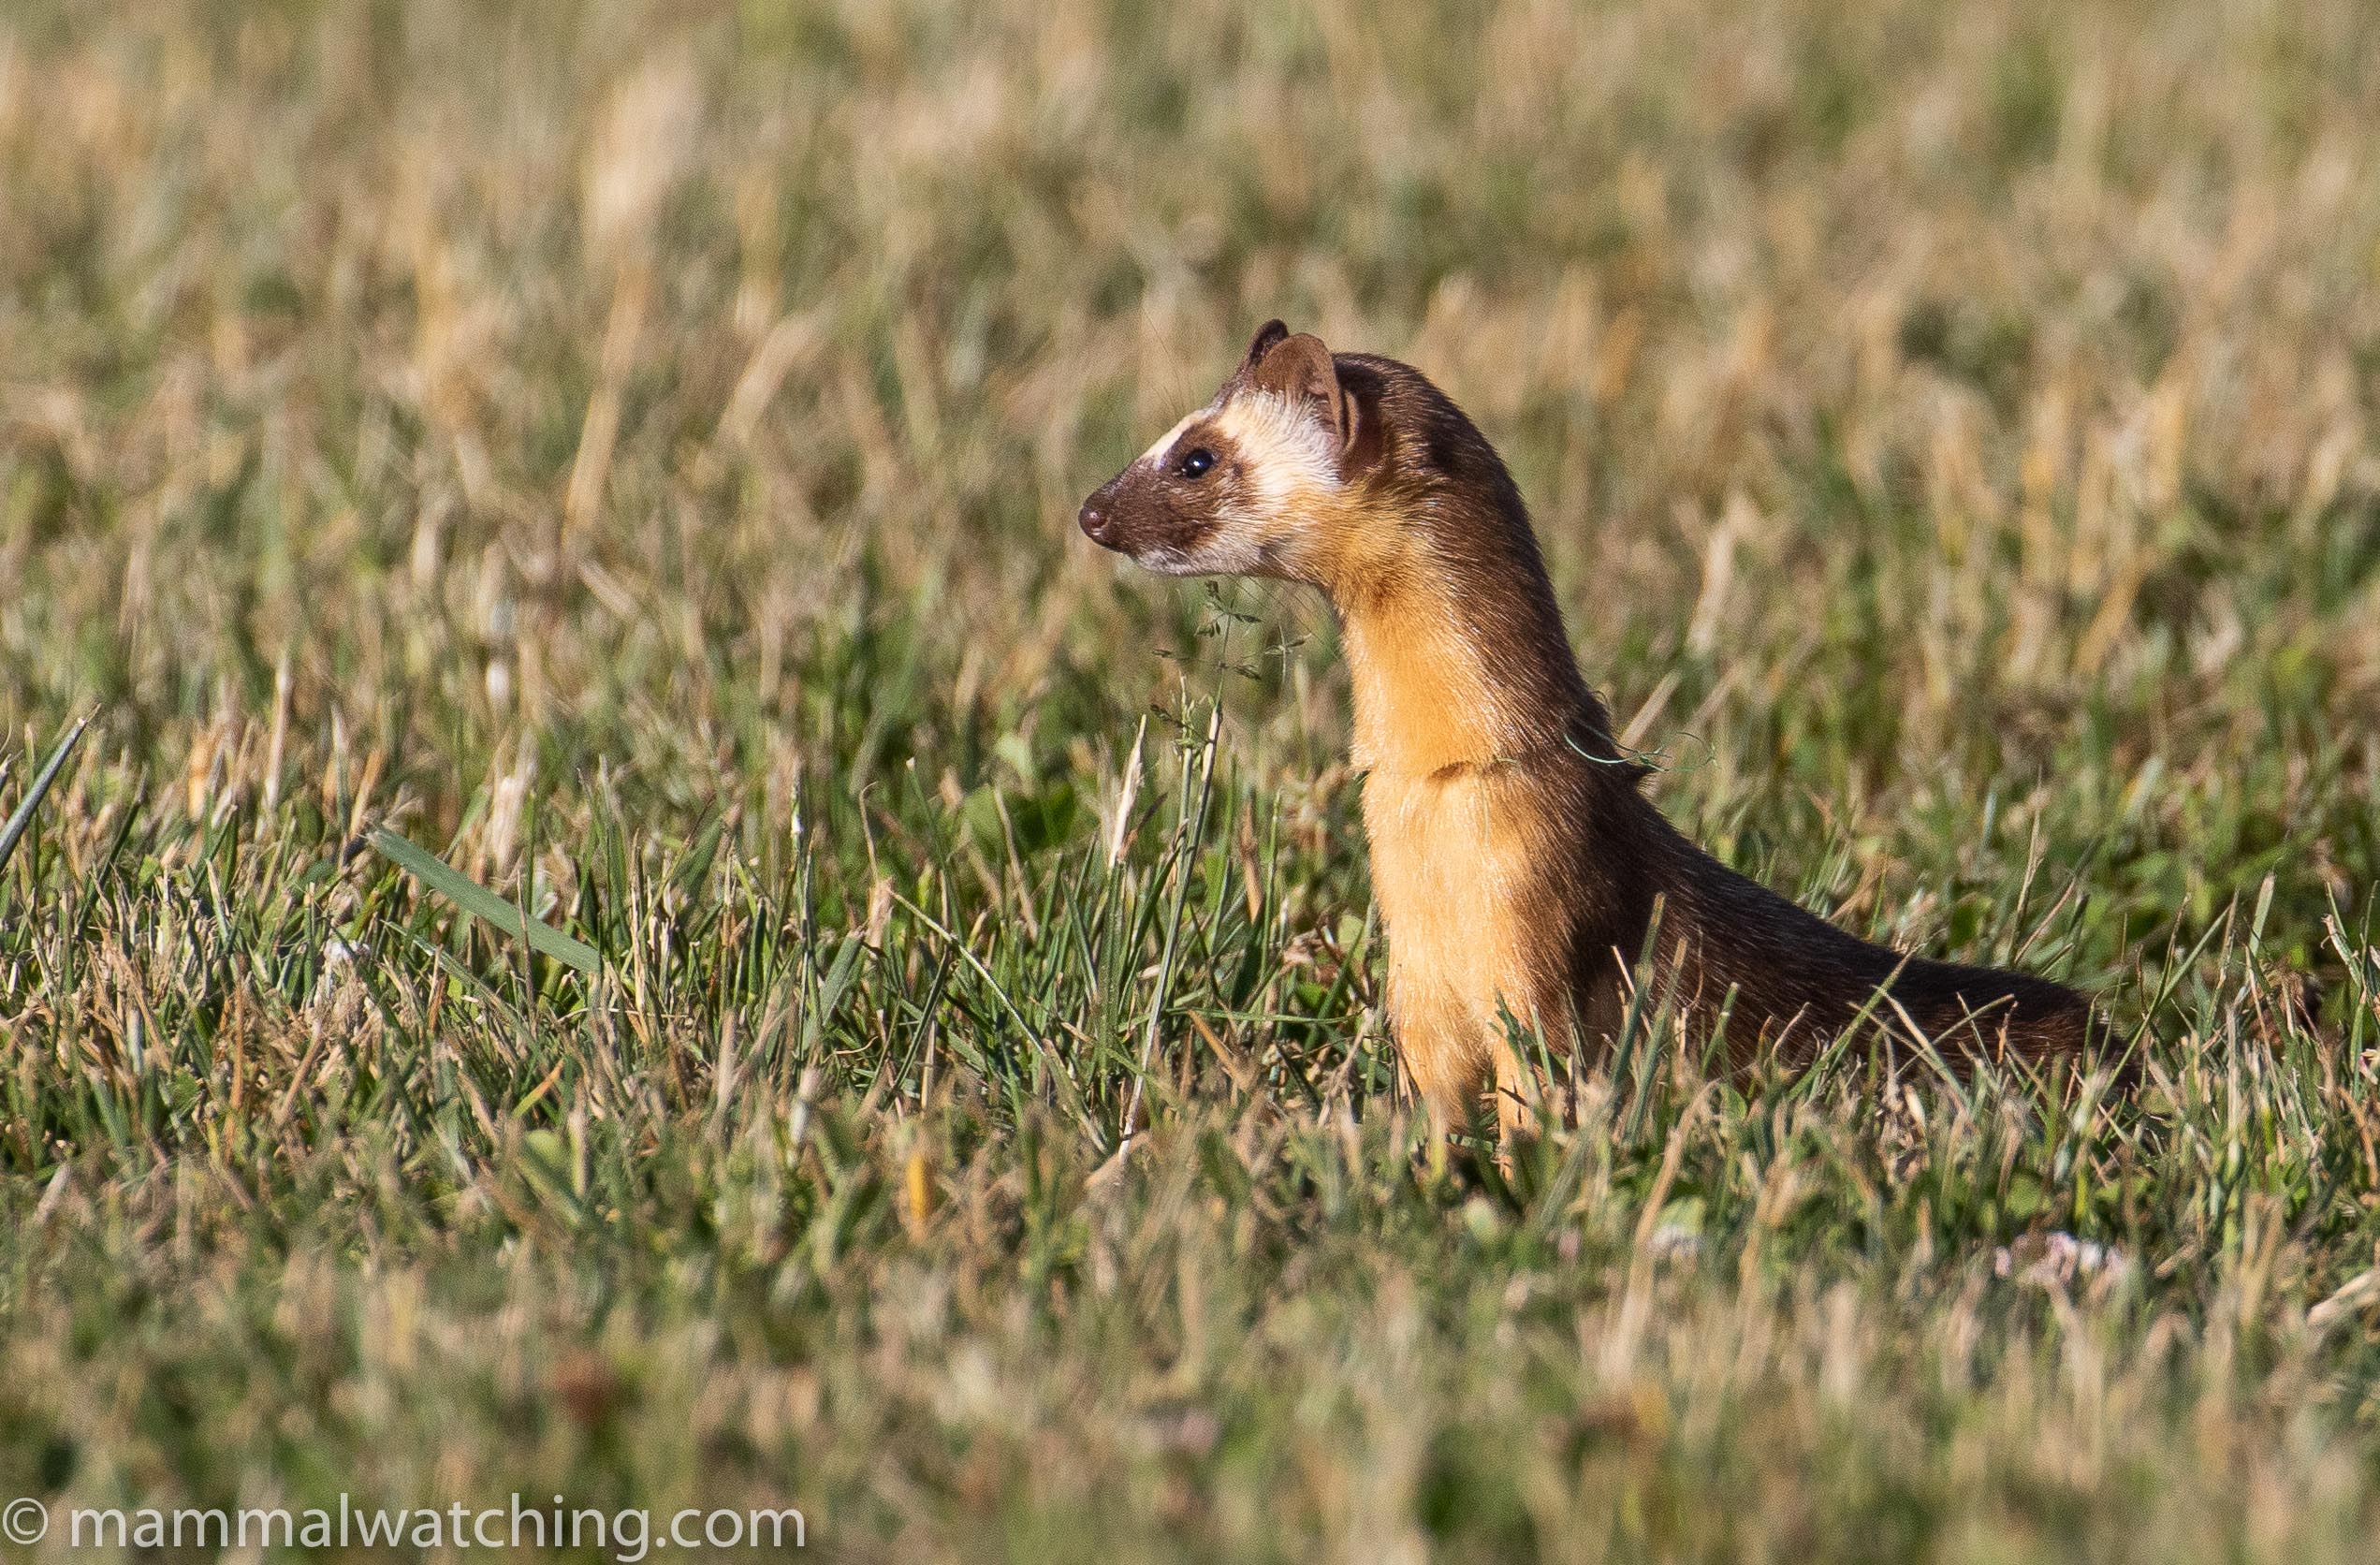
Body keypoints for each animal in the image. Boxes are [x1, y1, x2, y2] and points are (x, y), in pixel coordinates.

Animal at [1080, 316, 2104, 1134]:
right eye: (1169, 434)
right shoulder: (1415, 983)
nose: (1090, 509)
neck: (1435, 825)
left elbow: (1540, 1084)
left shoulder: (1539, 930)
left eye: (1198, 456)